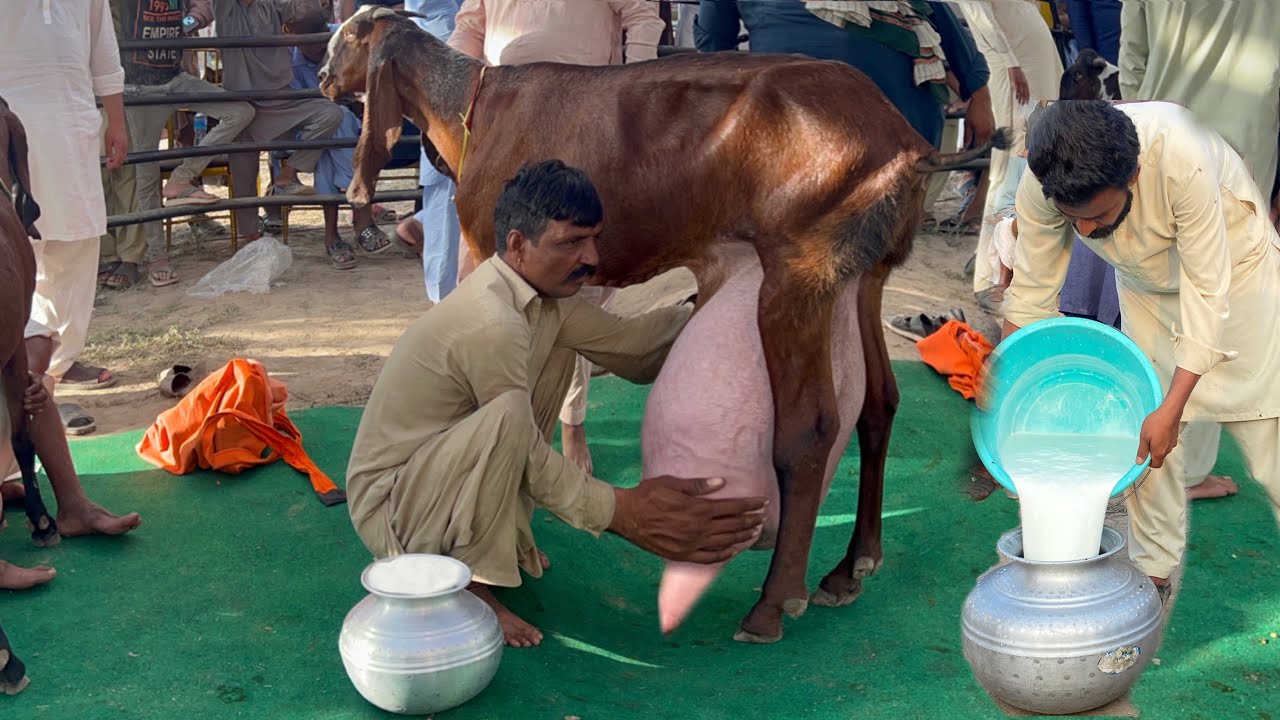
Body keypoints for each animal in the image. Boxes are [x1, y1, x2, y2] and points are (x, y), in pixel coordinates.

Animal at [319, 7, 1007, 643]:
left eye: (347, 38)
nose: (323, 78)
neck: (475, 105)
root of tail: (910, 145)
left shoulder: (490, 245)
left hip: (799, 272)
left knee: (810, 427)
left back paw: (774, 602)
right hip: (864, 275)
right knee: (878, 404)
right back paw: (852, 566)